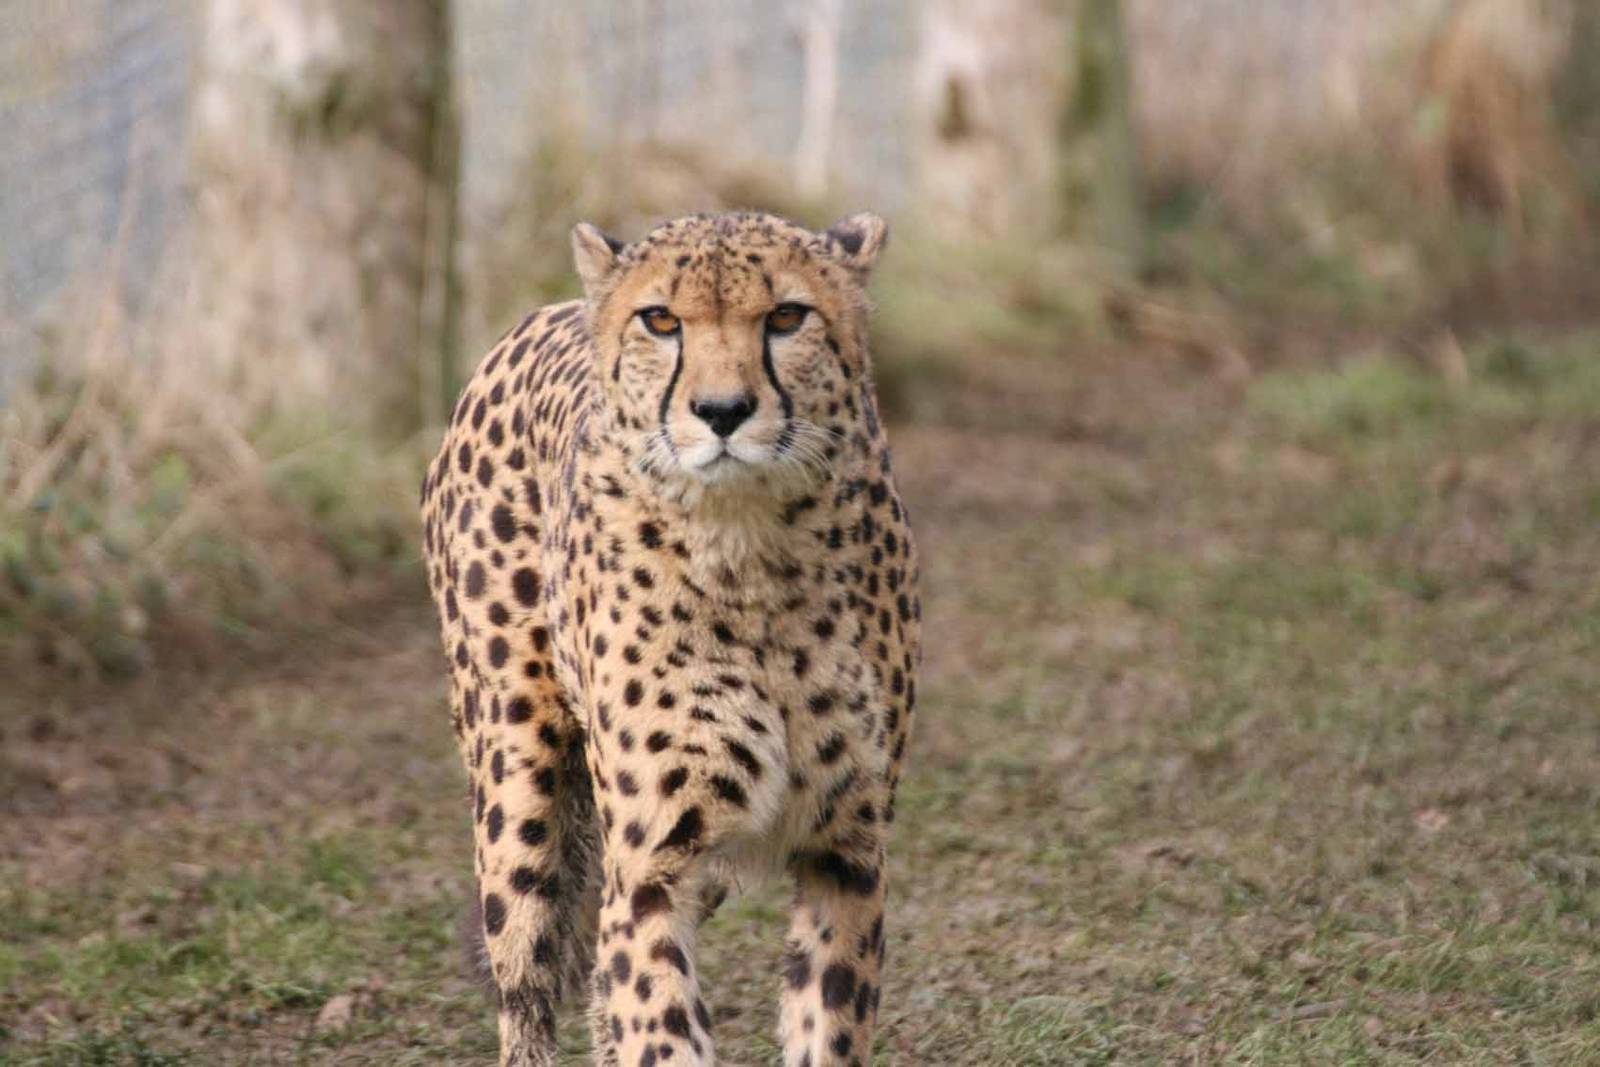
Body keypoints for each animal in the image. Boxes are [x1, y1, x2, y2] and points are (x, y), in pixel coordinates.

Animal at [419, 210, 920, 1067]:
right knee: (528, 975)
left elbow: (825, 1023)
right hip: (516, 783)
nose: (723, 411)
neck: (751, 549)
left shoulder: (847, 852)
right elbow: (658, 1024)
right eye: (661, 320)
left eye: (786, 316)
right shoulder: (651, 868)